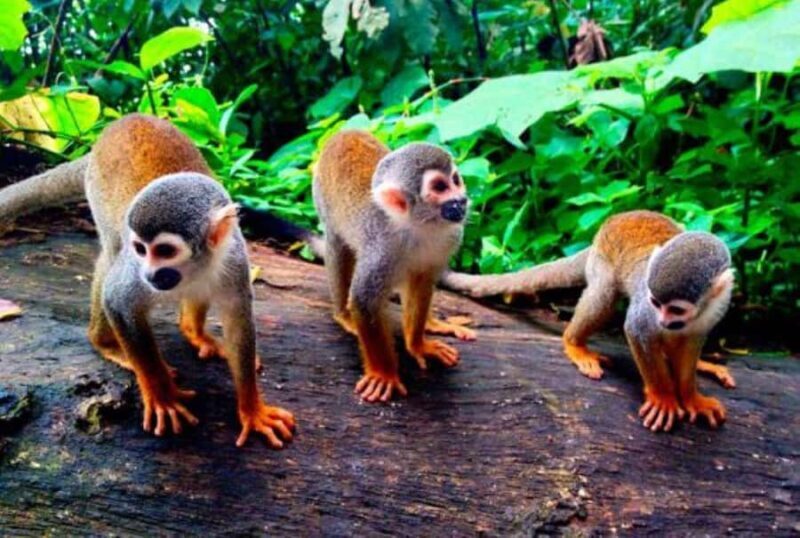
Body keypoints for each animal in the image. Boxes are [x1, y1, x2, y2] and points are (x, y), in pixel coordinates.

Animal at [0, 114, 295, 447]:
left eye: (165, 251)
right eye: (142, 249)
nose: (151, 274)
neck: (192, 269)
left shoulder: (233, 258)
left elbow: (238, 322)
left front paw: (252, 408)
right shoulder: (134, 268)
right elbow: (118, 300)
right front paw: (162, 394)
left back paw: (194, 331)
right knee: (111, 256)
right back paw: (106, 343)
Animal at [308, 129, 471, 402]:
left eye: (455, 180)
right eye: (440, 187)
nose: (462, 200)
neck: (418, 227)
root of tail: (344, 132)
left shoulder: (452, 235)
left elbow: (422, 281)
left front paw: (417, 344)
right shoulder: (380, 249)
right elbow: (364, 300)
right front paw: (383, 374)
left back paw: (432, 322)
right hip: (320, 195)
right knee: (337, 245)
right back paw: (344, 315)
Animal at [442, 211, 735, 432]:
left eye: (675, 309)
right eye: (655, 303)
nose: (663, 321)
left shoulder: (717, 305)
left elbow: (691, 341)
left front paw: (690, 396)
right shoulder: (647, 302)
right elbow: (637, 329)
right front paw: (663, 396)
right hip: (603, 260)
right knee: (604, 296)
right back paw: (574, 344)